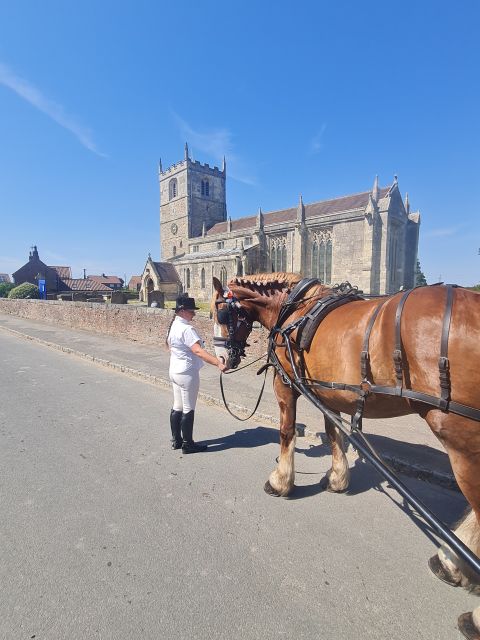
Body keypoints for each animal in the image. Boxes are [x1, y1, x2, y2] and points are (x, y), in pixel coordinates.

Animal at [212, 272, 480, 636]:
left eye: (221, 312)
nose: (222, 361)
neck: (293, 309)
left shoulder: (287, 385)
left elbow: (286, 432)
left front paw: (281, 481)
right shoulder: (326, 389)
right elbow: (334, 432)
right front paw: (338, 478)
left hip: (459, 435)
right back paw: (450, 561)